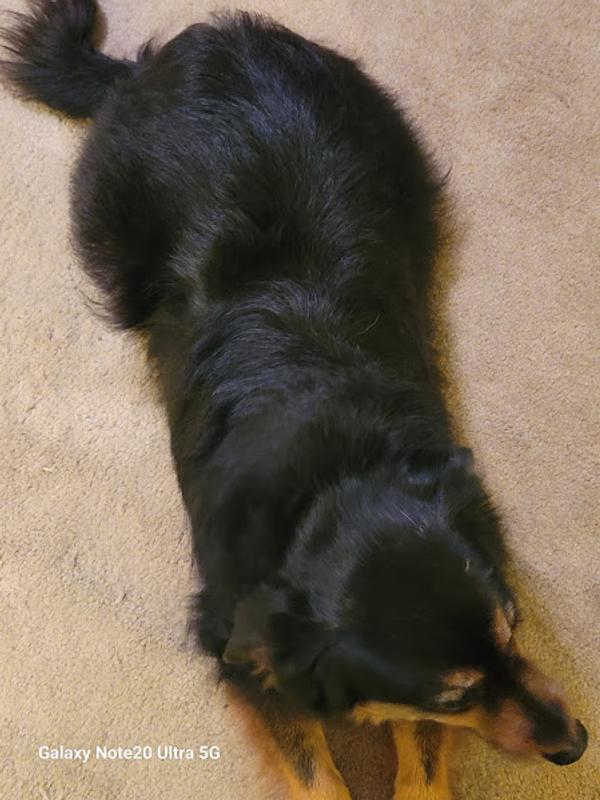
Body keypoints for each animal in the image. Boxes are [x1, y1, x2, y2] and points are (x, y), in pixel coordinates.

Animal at [1, 2, 588, 797]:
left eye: (515, 628)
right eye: (454, 694)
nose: (577, 745)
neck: (333, 482)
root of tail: (196, 46)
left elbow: (422, 758)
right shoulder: (241, 647)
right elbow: (315, 769)